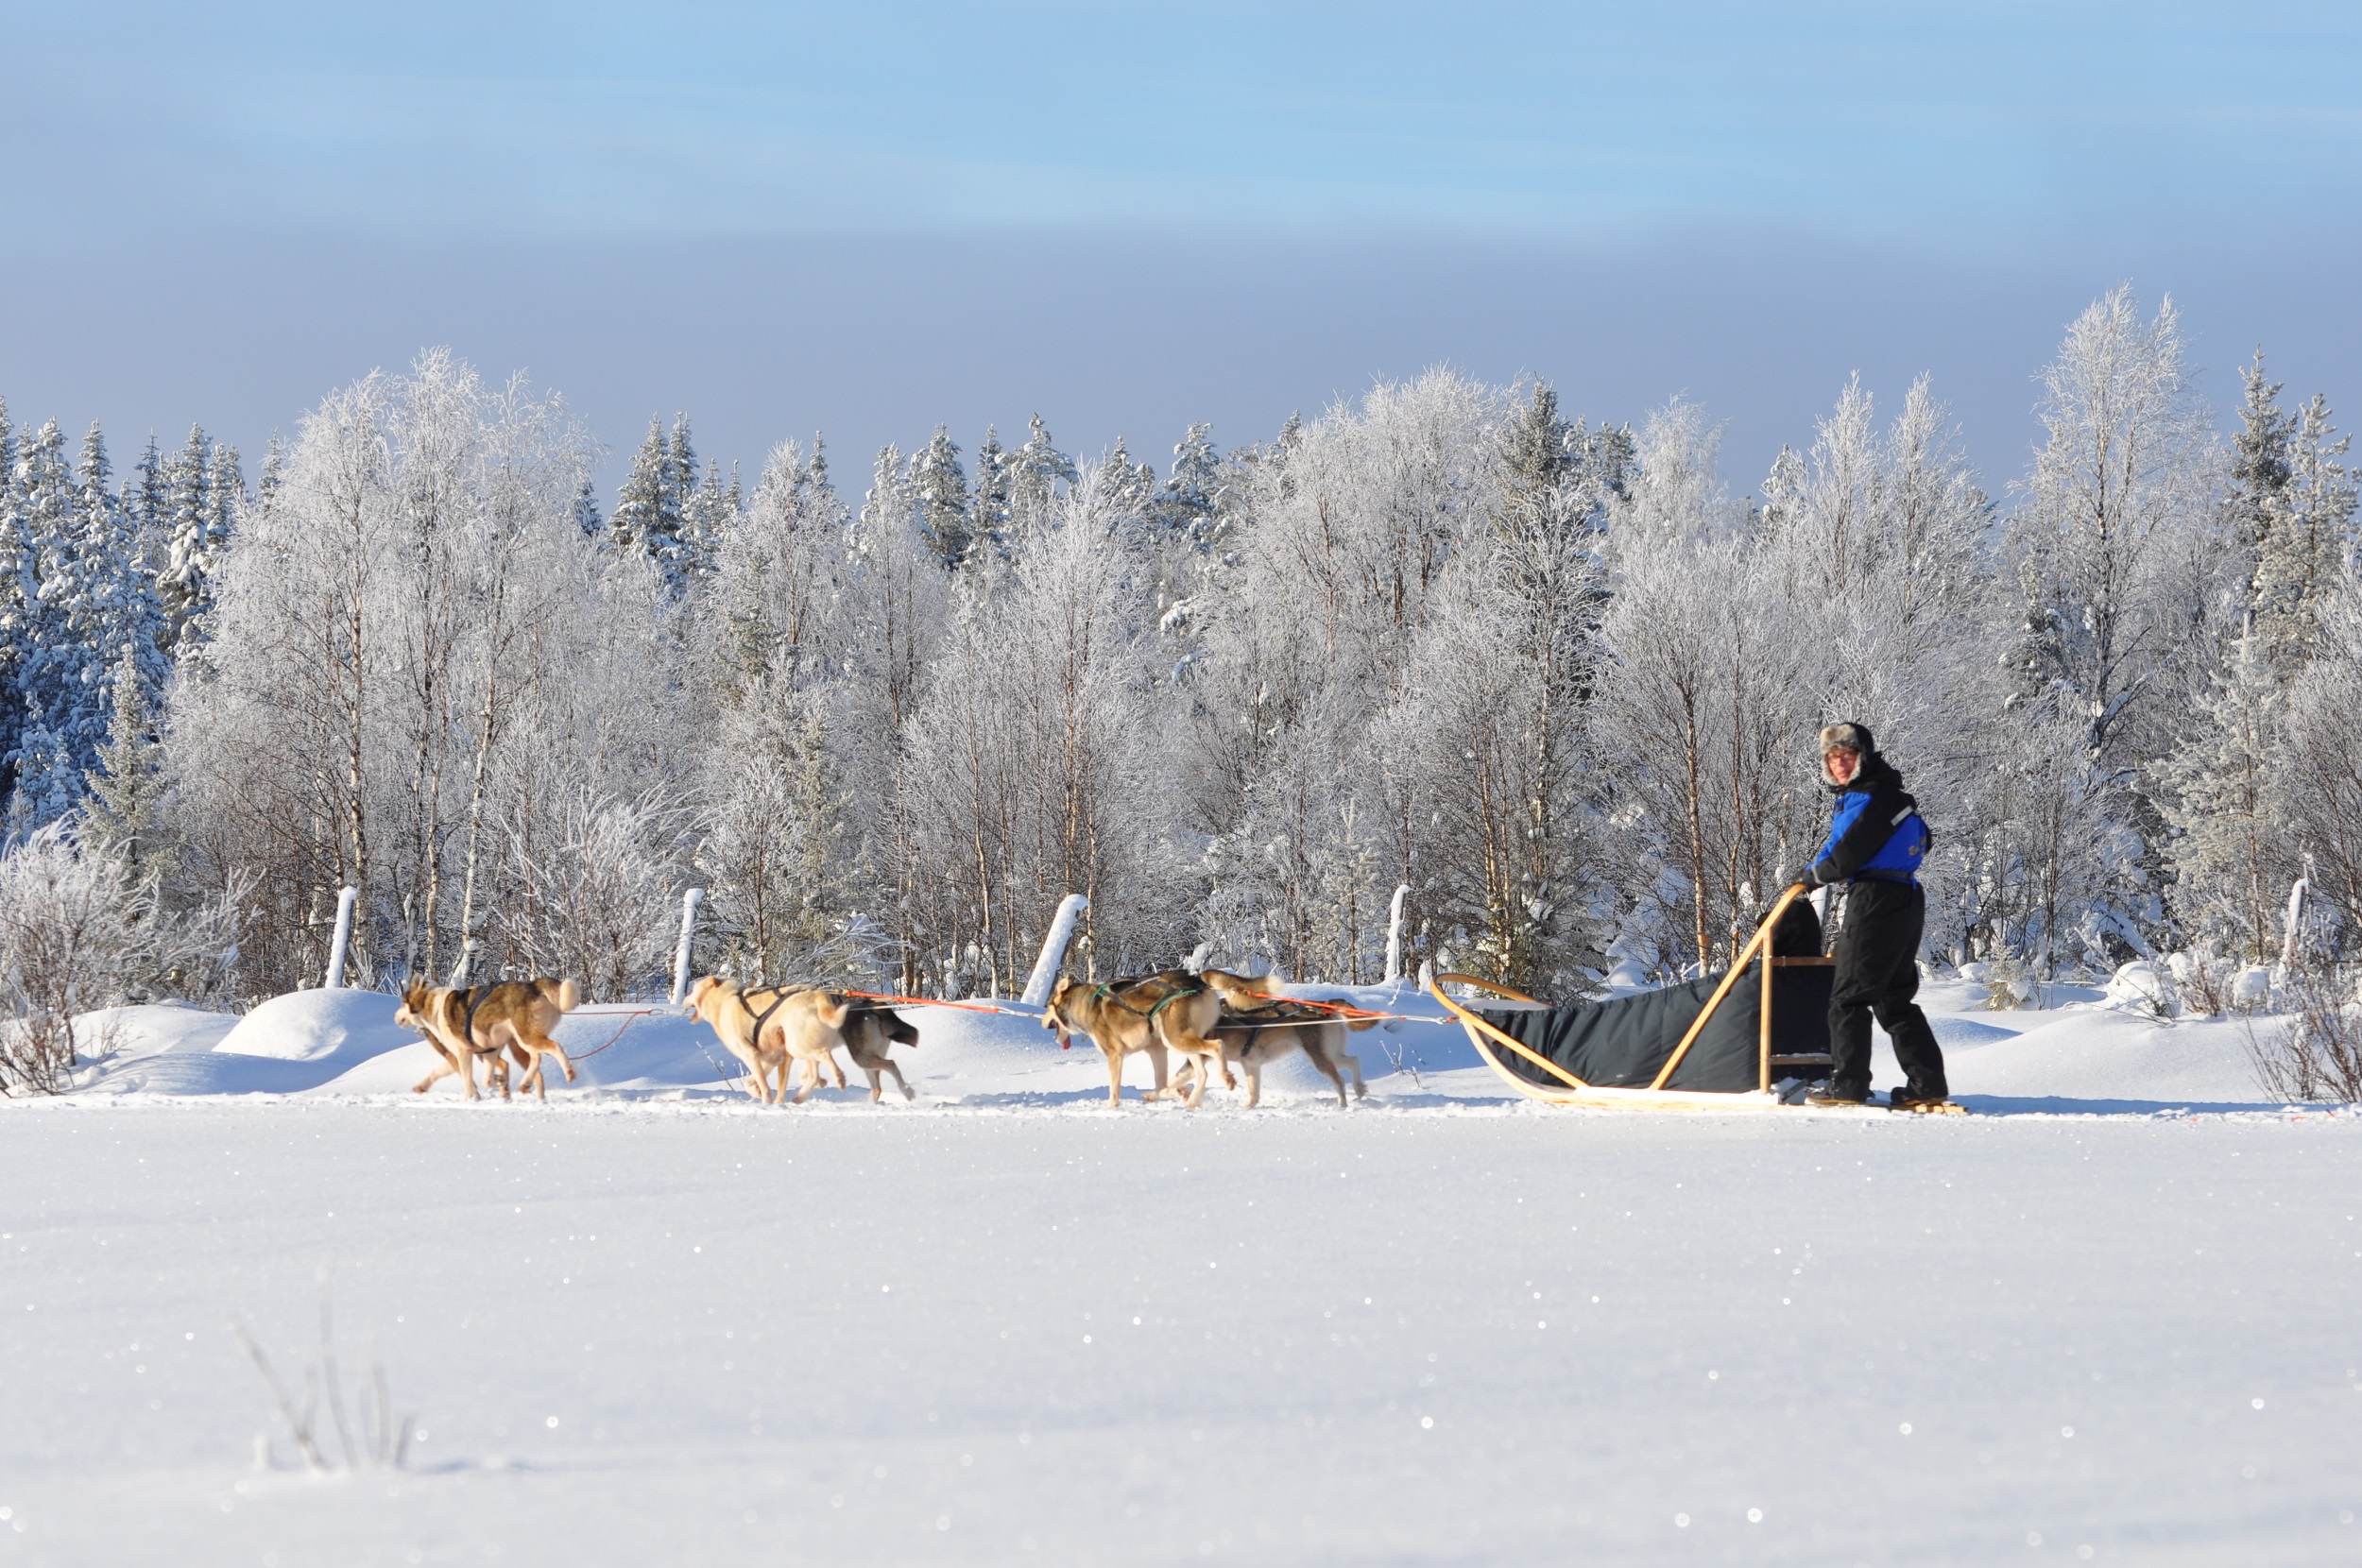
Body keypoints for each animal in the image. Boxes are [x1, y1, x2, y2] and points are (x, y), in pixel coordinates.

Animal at [397, 982, 581, 1100]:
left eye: (402, 1003)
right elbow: (444, 1072)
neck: (434, 1008)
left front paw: (469, 1100)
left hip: (526, 1038)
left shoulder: (463, 1053)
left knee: (554, 1047)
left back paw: (568, 1072)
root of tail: (533, 984)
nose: (396, 1017)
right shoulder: (483, 1052)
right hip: (521, 1044)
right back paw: (530, 1089)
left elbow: (468, 1080)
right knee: (537, 1060)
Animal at [685, 982, 850, 1100]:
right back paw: (802, 1094)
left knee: (823, 1055)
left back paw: (839, 1078)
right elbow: (751, 1083)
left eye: (693, 990)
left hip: (797, 1046)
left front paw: (765, 1101)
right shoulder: (771, 1059)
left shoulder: (751, 1055)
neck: (723, 1001)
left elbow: (765, 1087)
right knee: (813, 1073)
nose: (683, 997)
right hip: (802, 1044)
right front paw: (758, 1093)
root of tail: (816, 995)